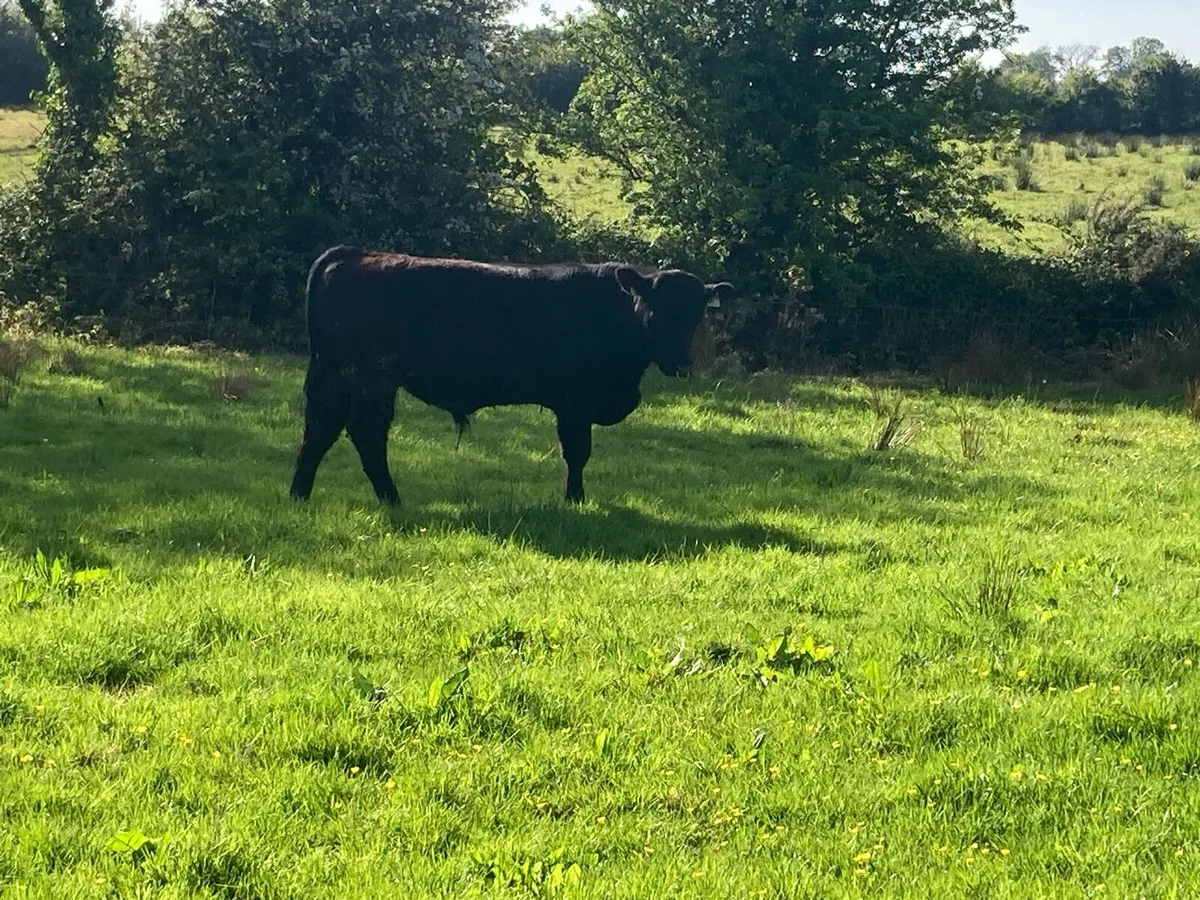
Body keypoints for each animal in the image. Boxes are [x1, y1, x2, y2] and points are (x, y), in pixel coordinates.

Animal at [288, 245, 735, 505]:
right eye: (657, 310)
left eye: (696, 314)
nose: (682, 363)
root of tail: (353, 253)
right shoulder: (574, 402)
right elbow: (577, 452)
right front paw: (575, 499)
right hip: (371, 377)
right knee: (364, 432)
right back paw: (390, 498)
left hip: (337, 376)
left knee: (321, 428)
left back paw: (300, 495)